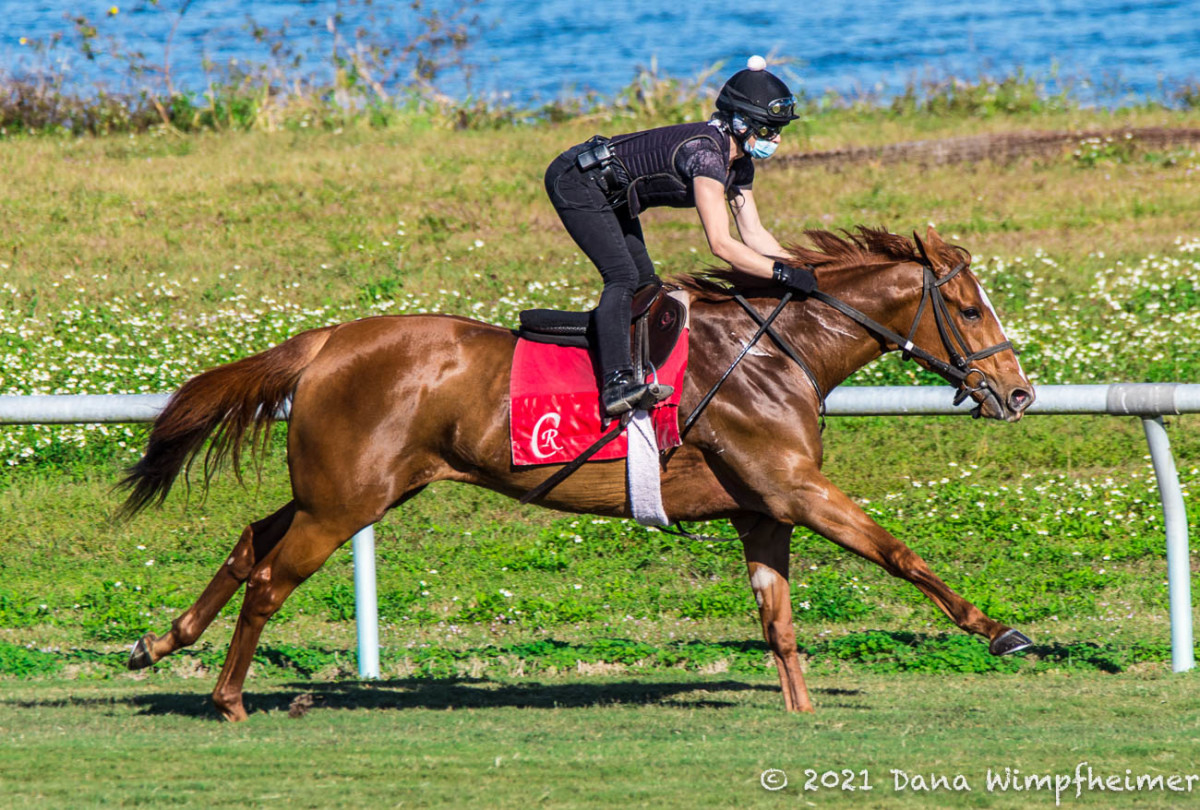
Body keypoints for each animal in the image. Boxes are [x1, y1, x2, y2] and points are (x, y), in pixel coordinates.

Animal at [126, 224, 1036, 720]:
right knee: (269, 579)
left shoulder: (762, 510)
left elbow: (778, 620)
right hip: (343, 503)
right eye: (967, 308)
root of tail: (323, 342)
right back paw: (228, 698)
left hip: (347, 491)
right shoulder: (795, 489)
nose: (1018, 392)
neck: (777, 352)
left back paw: (158, 642)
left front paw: (801, 710)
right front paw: (1001, 631)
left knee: (249, 541)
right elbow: (899, 553)